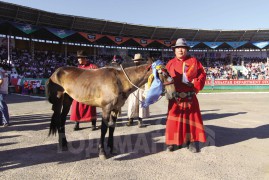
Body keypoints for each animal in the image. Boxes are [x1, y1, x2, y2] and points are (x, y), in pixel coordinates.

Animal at [45, 58, 176, 160]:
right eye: (163, 73)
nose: (173, 93)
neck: (120, 80)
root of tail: (56, 72)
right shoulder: (106, 108)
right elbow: (104, 129)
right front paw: (102, 152)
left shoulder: (116, 108)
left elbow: (112, 128)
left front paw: (111, 148)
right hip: (58, 101)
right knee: (58, 119)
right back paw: (61, 143)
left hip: (68, 100)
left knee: (62, 120)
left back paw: (64, 143)